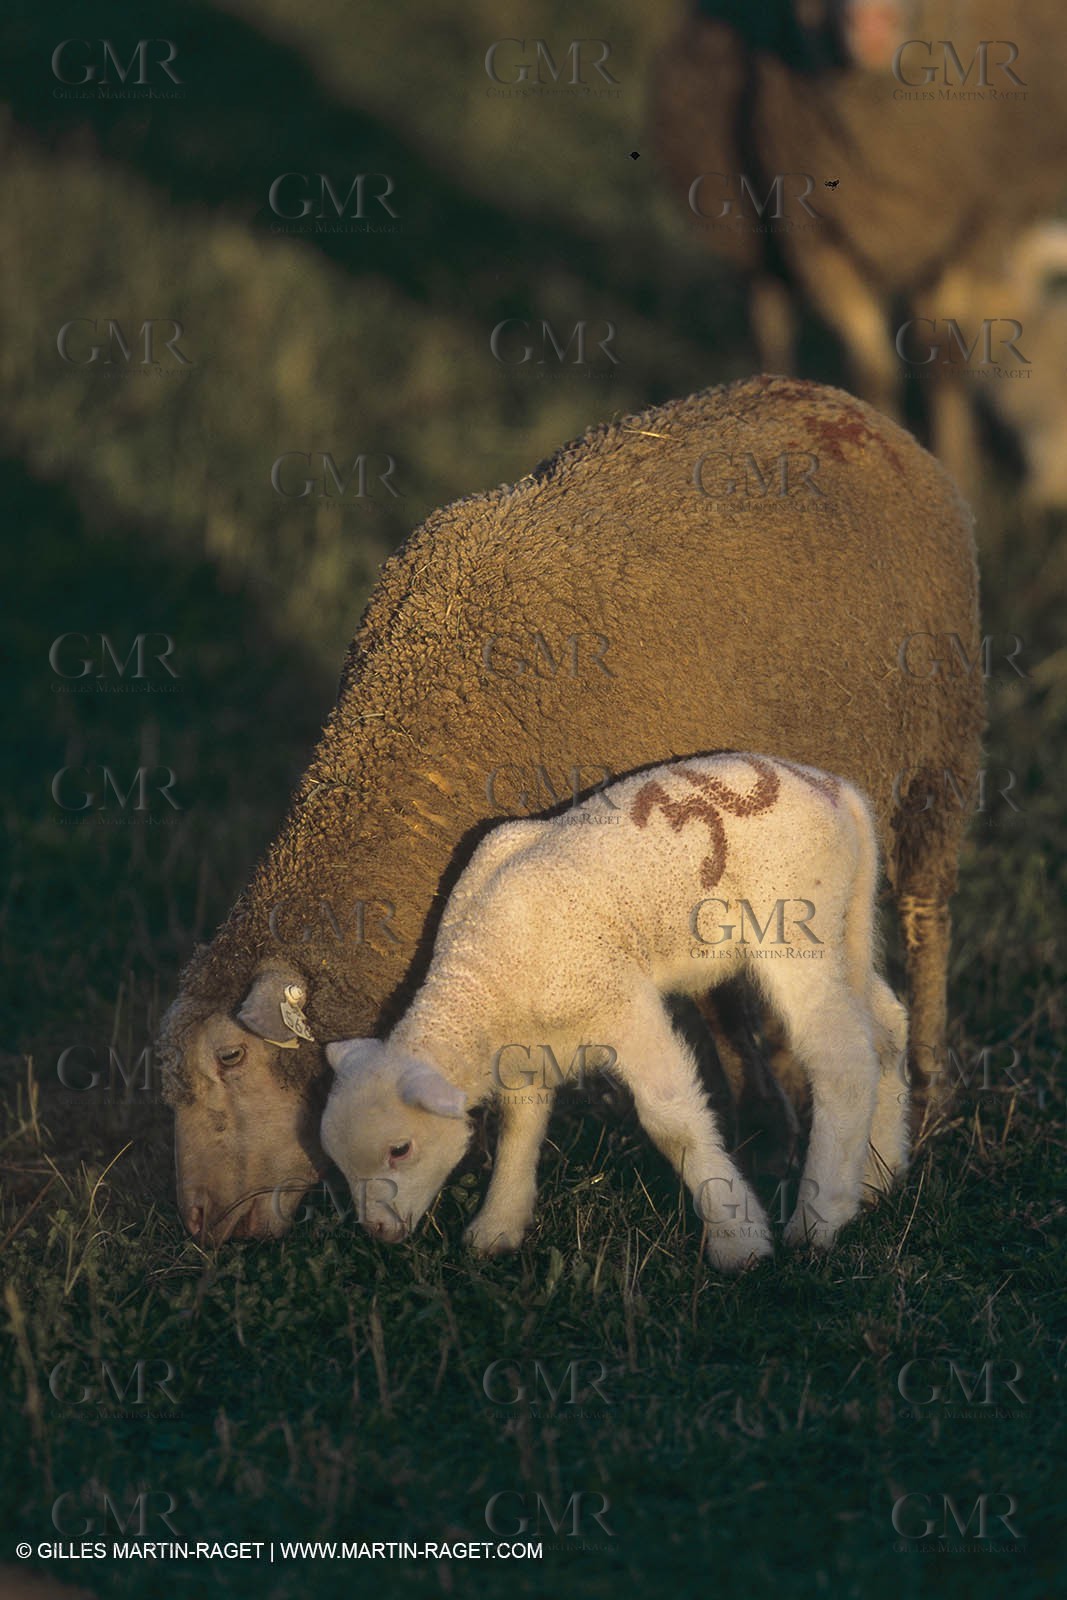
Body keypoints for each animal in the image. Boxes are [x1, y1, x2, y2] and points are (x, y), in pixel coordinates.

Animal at [322, 753, 909, 1270]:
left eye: (400, 1149)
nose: (379, 1232)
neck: (483, 975)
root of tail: (835, 789)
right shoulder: (525, 1046)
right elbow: (520, 1124)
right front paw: (498, 1225)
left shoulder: (621, 1004)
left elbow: (673, 1123)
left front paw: (737, 1240)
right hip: (845, 921)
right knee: (886, 1027)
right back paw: (878, 1178)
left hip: (795, 921)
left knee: (843, 1059)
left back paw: (819, 1220)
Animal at [652, 0, 1067, 499]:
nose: (871, 20)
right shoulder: (813, 239)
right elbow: (873, 369)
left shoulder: (968, 233)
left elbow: (944, 359)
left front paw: (958, 471)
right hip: (756, 244)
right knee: (772, 322)